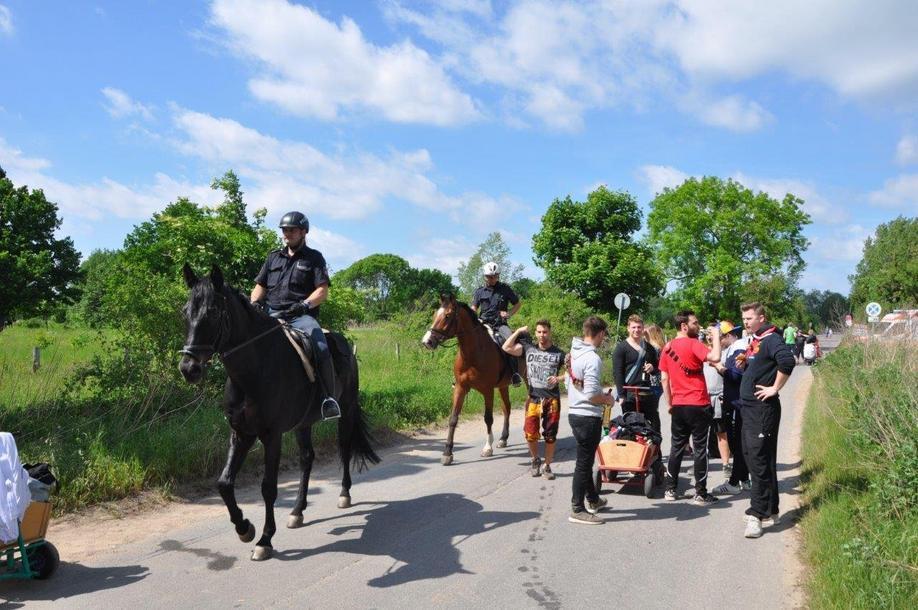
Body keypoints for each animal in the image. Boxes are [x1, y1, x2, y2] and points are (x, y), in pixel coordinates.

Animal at [178, 264, 380, 560]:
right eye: (186, 311)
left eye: (213, 312)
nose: (188, 368)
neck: (253, 371)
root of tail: (344, 344)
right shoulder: (240, 432)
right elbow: (224, 483)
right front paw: (244, 528)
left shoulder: (271, 435)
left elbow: (268, 488)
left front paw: (264, 540)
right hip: (304, 423)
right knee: (307, 458)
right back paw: (297, 511)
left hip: (346, 410)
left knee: (343, 448)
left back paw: (344, 495)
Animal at [422, 292, 516, 464]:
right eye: (434, 315)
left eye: (447, 316)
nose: (427, 341)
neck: (473, 354)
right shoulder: (460, 388)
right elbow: (453, 419)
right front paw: (447, 453)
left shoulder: (487, 390)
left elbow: (488, 418)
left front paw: (487, 448)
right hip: (503, 386)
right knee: (507, 408)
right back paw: (503, 439)